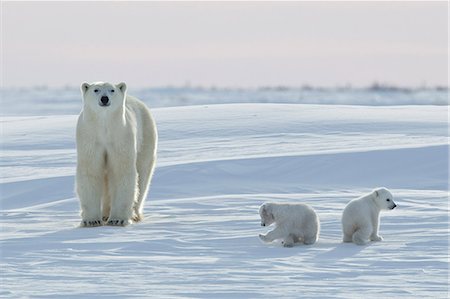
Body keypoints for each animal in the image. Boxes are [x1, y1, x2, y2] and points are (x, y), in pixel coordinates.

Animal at [75, 82, 156, 227]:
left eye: (112, 90)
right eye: (96, 90)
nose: (104, 98)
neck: (105, 127)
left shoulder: (121, 136)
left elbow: (121, 172)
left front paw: (117, 219)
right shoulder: (90, 138)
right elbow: (90, 172)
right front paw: (92, 220)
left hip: (146, 136)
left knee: (143, 176)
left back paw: (134, 214)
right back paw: (104, 214)